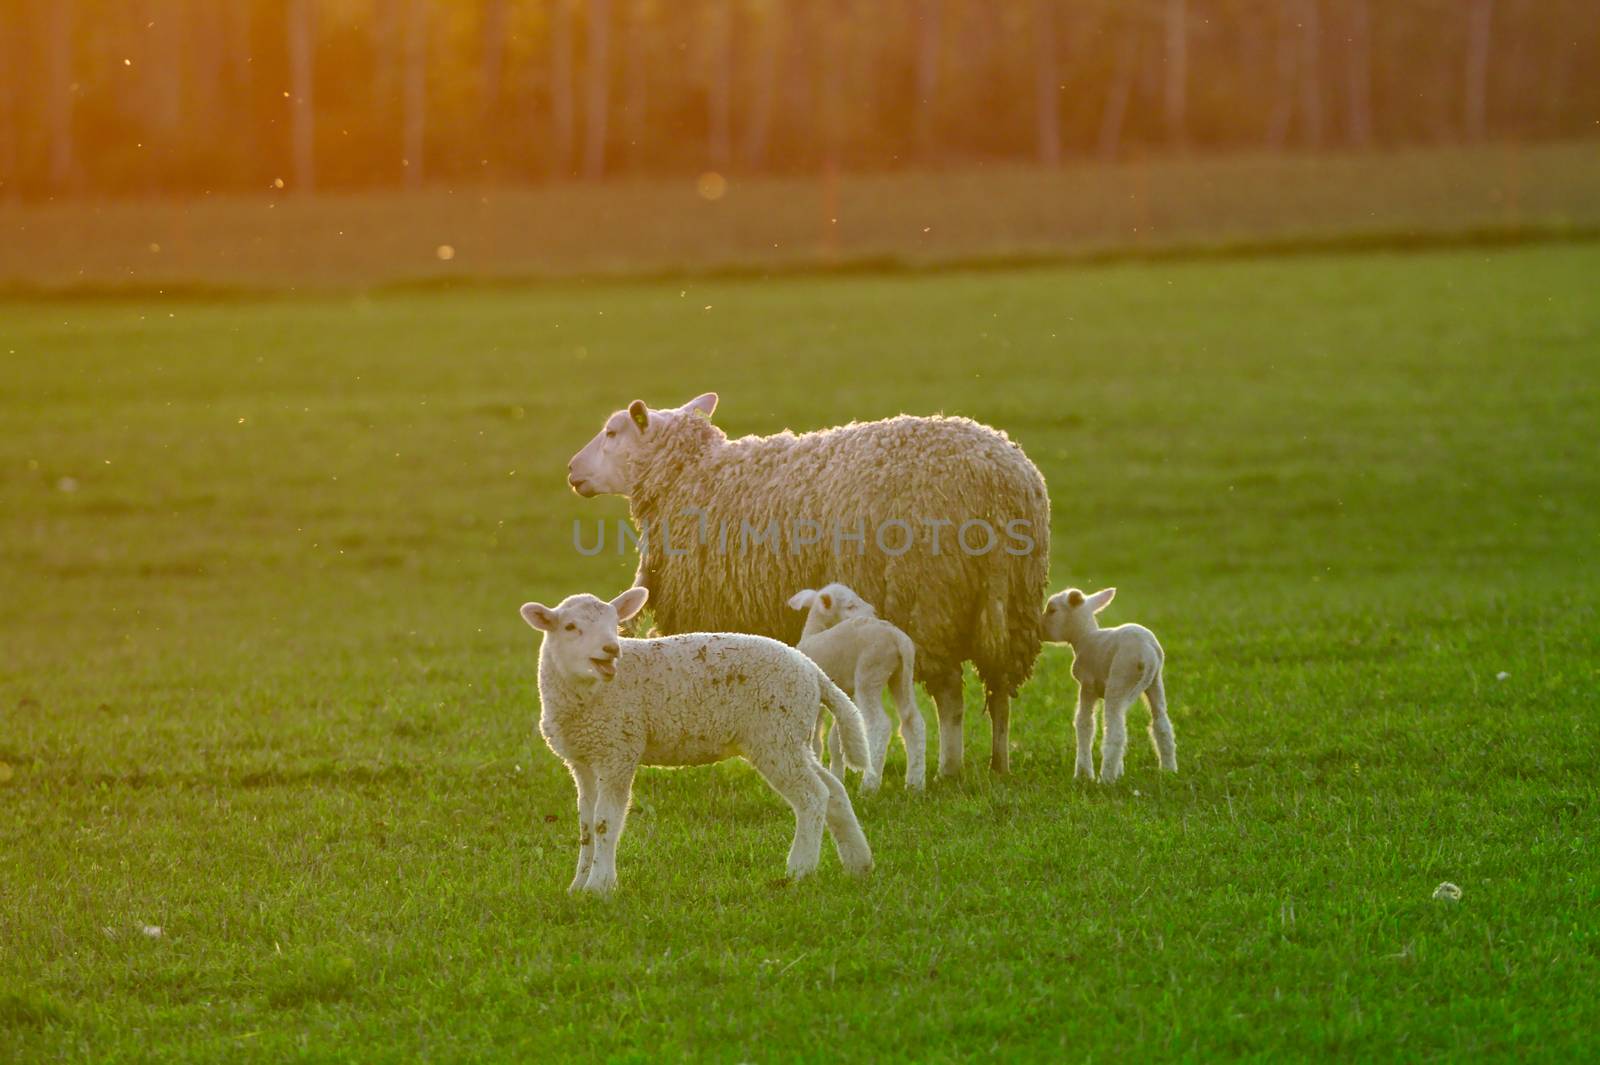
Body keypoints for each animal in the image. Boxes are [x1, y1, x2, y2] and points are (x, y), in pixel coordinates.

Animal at [518, 582, 876, 889]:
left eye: (614, 623)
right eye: (570, 627)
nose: (610, 649)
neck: (591, 692)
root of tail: (812, 670)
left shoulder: (618, 749)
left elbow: (605, 821)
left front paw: (599, 886)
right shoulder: (583, 760)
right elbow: (586, 825)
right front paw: (577, 886)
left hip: (777, 734)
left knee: (813, 796)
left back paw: (800, 869)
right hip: (792, 736)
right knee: (834, 790)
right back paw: (859, 863)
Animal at [787, 582, 928, 786]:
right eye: (850, 606)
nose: (873, 612)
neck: (813, 633)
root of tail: (896, 637)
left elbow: (816, 740)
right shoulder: (844, 694)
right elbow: (835, 738)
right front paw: (837, 776)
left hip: (870, 673)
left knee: (879, 724)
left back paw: (869, 785)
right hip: (902, 675)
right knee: (913, 721)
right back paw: (915, 784)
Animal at [1043, 582, 1184, 780]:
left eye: (1052, 610)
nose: (1039, 630)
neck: (1083, 637)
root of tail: (1147, 654)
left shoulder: (1087, 685)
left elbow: (1084, 724)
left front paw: (1083, 774)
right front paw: (1119, 770)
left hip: (1120, 677)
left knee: (1115, 731)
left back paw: (1106, 778)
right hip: (1155, 682)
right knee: (1161, 724)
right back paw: (1168, 770)